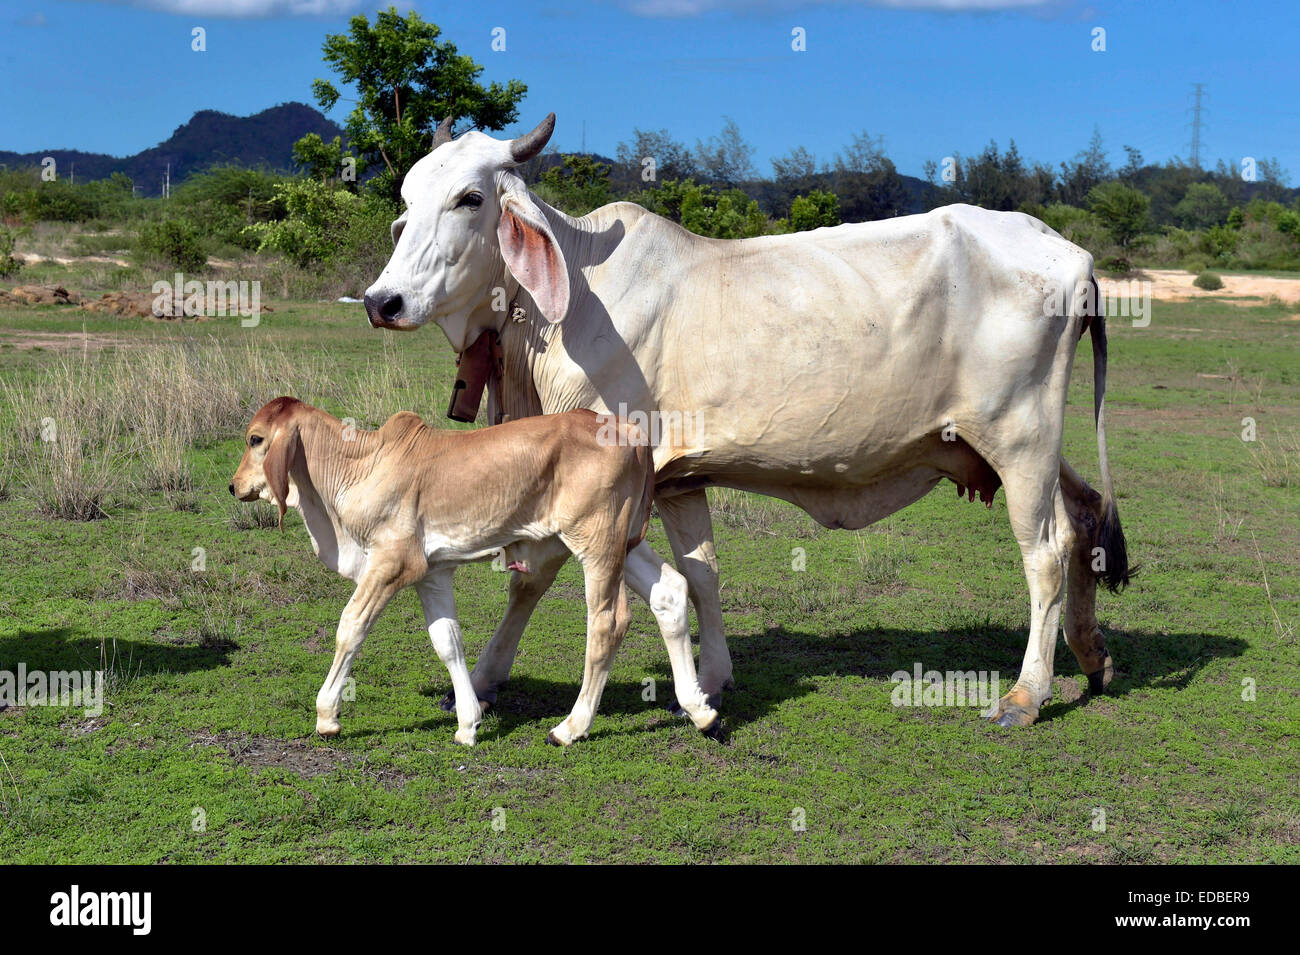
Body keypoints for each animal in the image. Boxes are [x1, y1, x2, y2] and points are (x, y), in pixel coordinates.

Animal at [364, 115, 1128, 727]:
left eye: (470, 199)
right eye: (406, 201)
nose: (382, 300)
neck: (572, 295)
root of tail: (1073, 254)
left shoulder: (595, 480)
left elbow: (535, 574)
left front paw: (485, 679)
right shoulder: (675, 481)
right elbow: (701, 573)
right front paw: (711, 680)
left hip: (1019, 437)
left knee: (1047, 550)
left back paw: (1027, 694)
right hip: (1019, 442)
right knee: (1088, 513)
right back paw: (1092, 656)